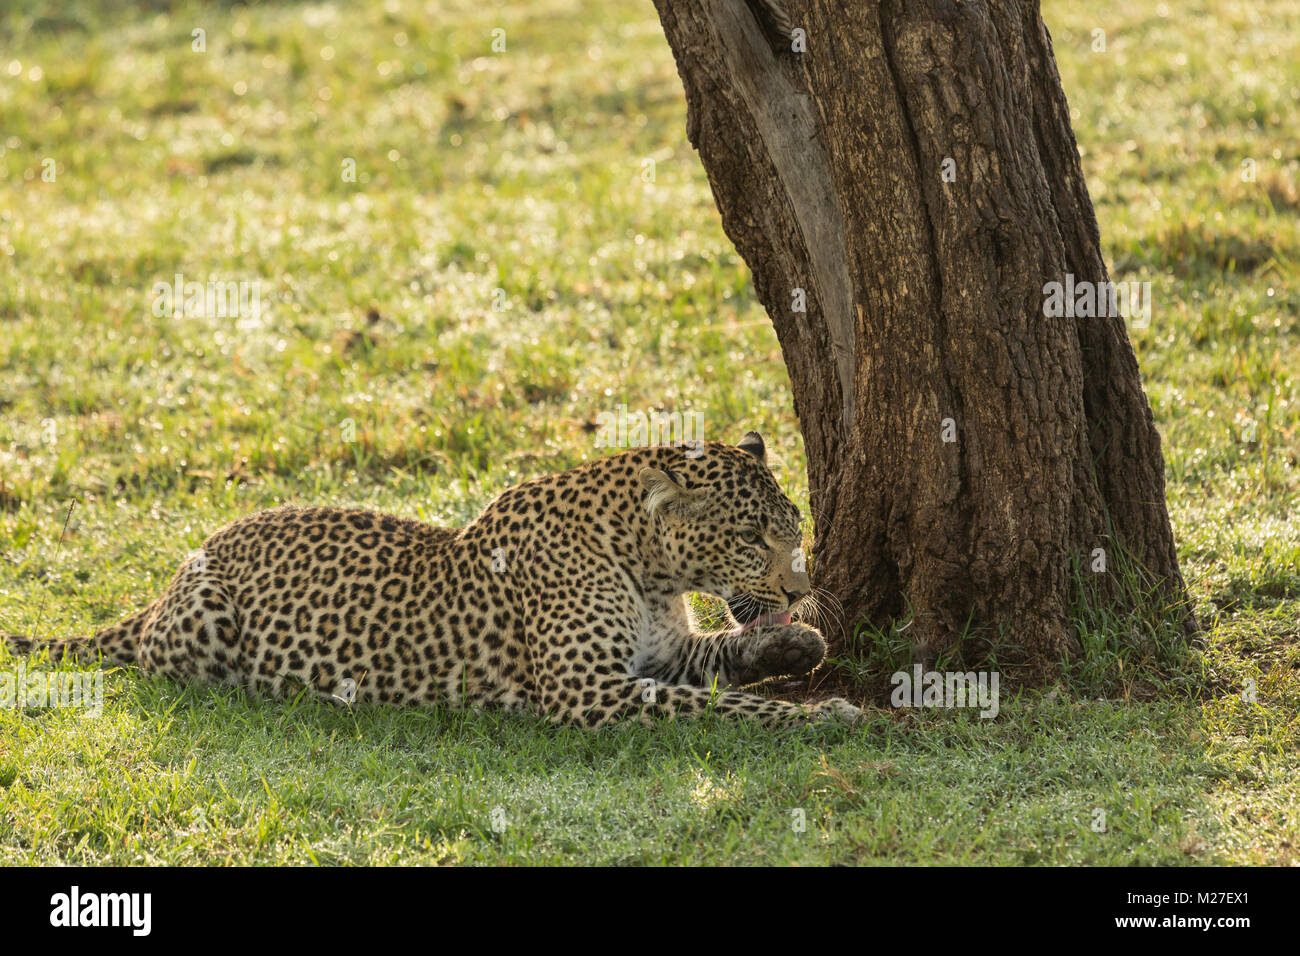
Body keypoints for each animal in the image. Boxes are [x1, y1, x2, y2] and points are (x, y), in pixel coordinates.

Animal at [6, 431, 862, 728]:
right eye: (750, 537)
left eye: (794, 529)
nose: (799, 589)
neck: (651, 570)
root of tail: (185, 562)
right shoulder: (588, 691)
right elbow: (727, 708)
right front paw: (826, 717)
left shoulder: (661, 654)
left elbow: (722, 658)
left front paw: (798, 646)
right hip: (206, 619)